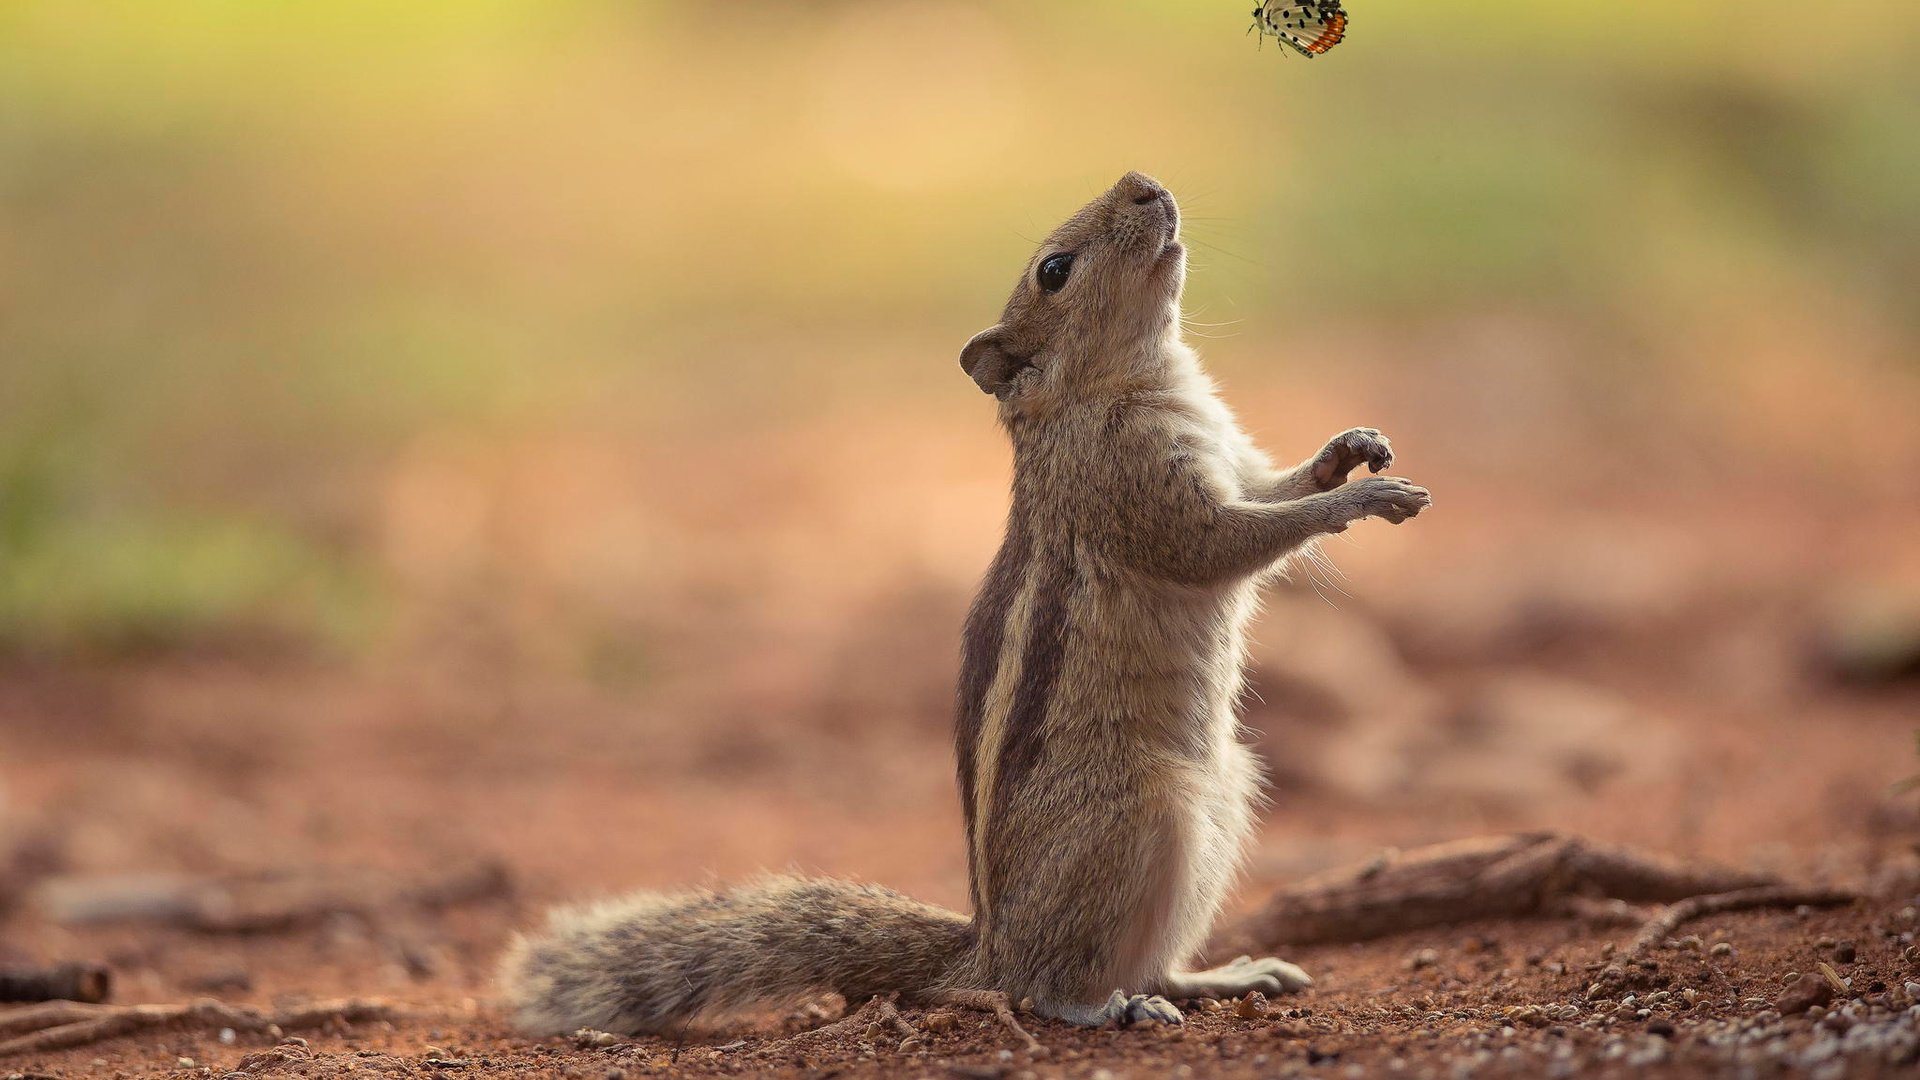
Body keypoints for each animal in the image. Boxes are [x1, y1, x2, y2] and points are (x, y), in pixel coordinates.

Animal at [503, 171, 1436, 1030]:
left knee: (1151, 959)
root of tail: (986, 948)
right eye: (1055, 270)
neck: (1120, 384)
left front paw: (1349, 450)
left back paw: (1220, 978)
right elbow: (1227, 544)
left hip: (1227, 798)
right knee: (1048, 986)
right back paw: (1106, 1008)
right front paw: (1365, 498)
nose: (1142, 182)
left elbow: (1278, 487)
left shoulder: (1234, 461)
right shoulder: (1139, 493)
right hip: (1143, 815)